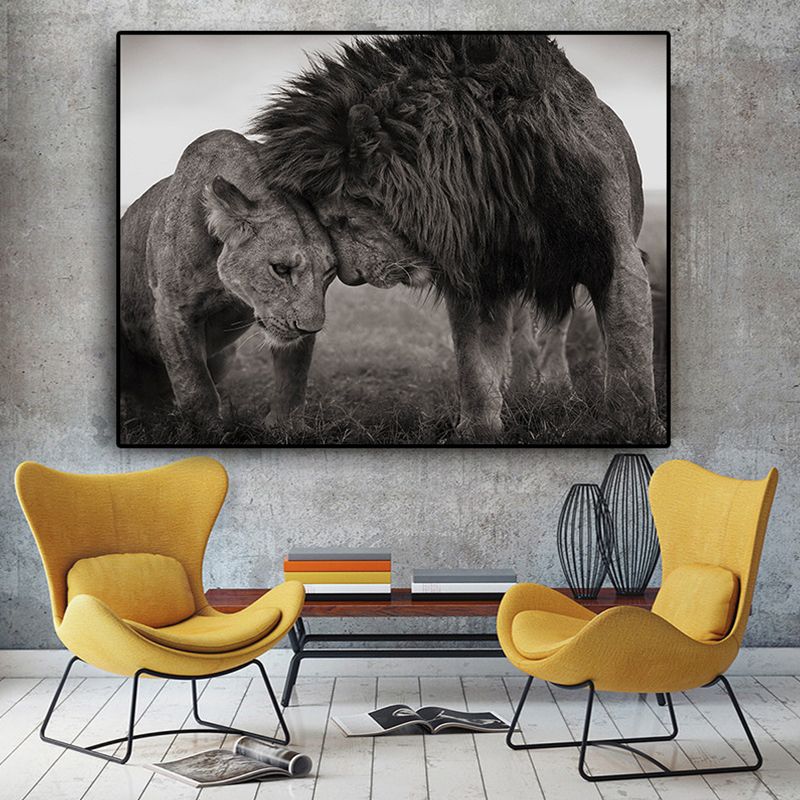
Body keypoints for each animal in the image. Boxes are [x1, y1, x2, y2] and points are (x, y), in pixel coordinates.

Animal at [120, 129, 336, 433]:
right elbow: (194, 385)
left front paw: (286, 427)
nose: (310, 328)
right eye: (281, 269)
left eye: (330, 272)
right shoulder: (173, 308)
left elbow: (293, 376)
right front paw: (208, 431)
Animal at [253, 34, 661, 442]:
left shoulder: (613, 255)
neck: (494, 178)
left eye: (340, 220)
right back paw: (525, 389)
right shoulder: (477, 274)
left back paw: (559, 389)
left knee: (558, 330)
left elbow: (628, 349)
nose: (351, 278)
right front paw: (477, 429)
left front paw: (630, 426)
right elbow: (475, 363)